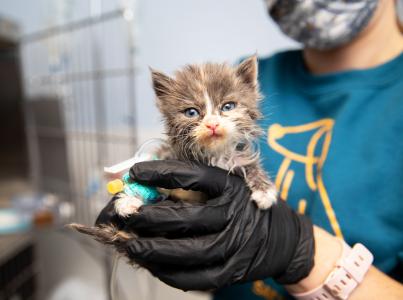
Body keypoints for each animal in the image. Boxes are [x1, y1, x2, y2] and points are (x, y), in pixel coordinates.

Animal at [70, 56, 278, 248]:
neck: (210, 154)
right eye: (192, 112)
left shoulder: (237, 156)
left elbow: (248, 164)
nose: (212, 124)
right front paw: (128, 199)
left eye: (228, 106)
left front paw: (264, 190)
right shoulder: (167, 157)